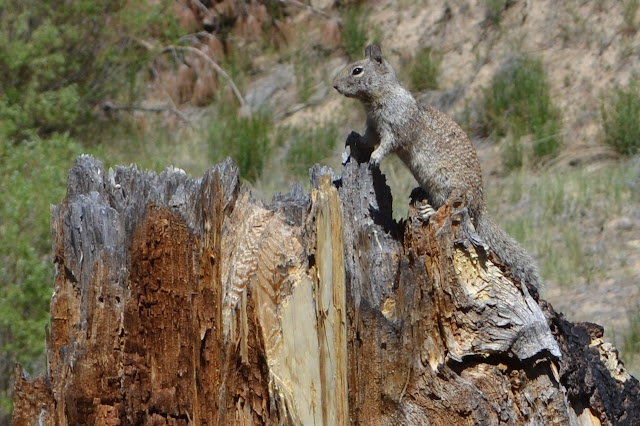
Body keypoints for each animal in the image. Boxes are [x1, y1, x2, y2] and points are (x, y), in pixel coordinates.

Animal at [336, 44, 540, 290]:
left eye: (357, 70)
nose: (335, 85)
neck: (380, 96)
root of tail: (480, 207)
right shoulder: (373, 126)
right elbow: (367, 139)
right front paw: (353, 138)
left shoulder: (396, 125)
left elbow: (388, 144)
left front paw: (375, 158)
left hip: (445, 183)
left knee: (452, 208)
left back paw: (429, 210)